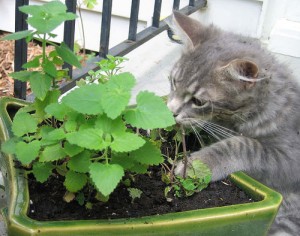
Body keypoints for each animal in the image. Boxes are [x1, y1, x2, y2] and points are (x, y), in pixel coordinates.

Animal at [169, 12, 300, 235]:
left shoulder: (289, 159)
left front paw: (198, 164)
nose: (171, 111)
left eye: (198, 101)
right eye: (174, 82)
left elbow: (244, 144)